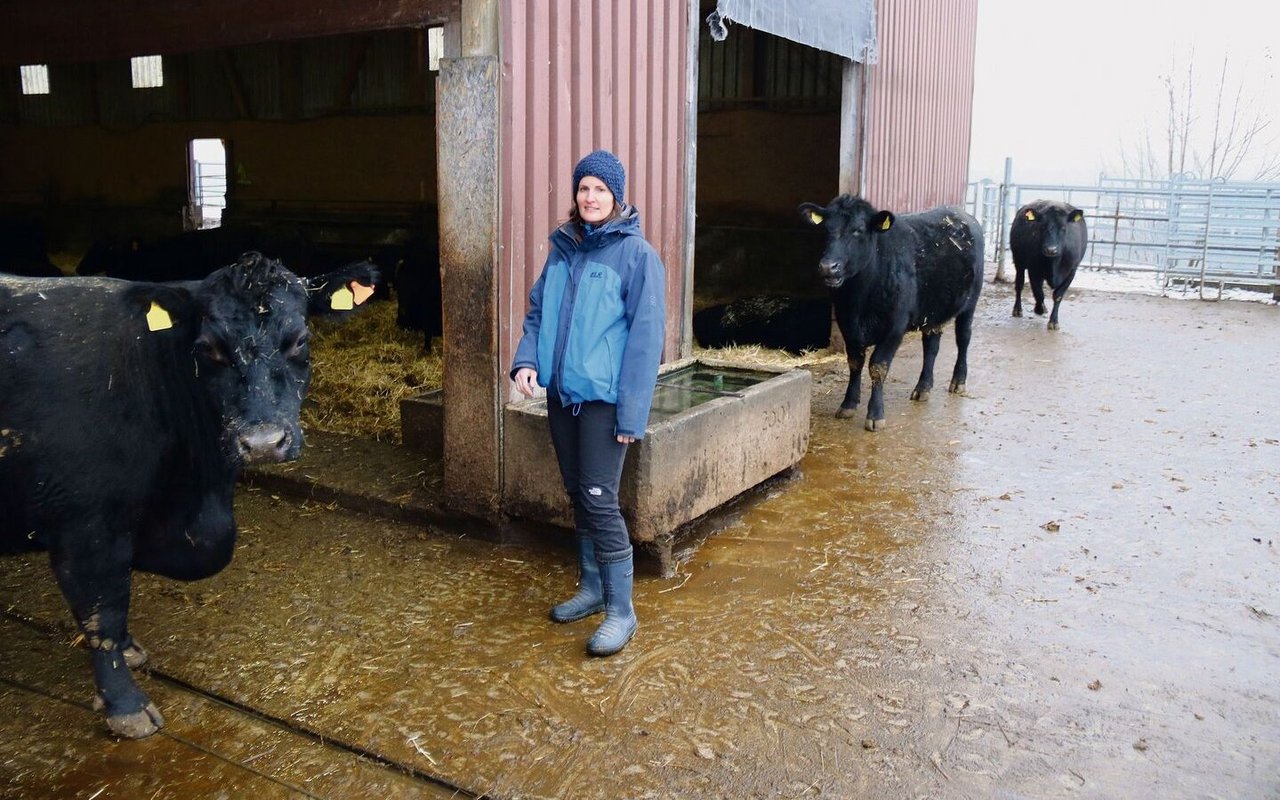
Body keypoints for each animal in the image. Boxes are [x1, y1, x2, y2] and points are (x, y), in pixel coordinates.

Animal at [0, 248, 378, 737]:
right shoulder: (84, 521)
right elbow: (102, 607)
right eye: (207, 348)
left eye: (299, 340)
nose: (261, 442)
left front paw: (129, 646)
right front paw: (125, 704)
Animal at [793, 193, 983, 430]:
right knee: (931, 347)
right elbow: (855, 363)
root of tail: (961, 214)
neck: (859, 300)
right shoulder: (847, 325)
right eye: (826, 229)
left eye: (858, 230)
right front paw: (848, 404)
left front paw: (875, 414)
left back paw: (958, 382)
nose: (829, 267)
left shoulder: (895, 327)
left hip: (970, 303)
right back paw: (923, 387)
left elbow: (878, 366)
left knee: (963, 339)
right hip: (934, 312)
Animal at [1013, 200, 1085, 330]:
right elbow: (1038, 292)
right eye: (1042, 227)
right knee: (1019, 284)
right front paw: (1039, 309)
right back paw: (1018, 309)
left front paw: (1054, 321)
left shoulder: (1071, 271)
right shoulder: (1033, 269)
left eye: (1063, 228)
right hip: (1018, 262)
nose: (1051, 249)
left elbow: (1058, 295)